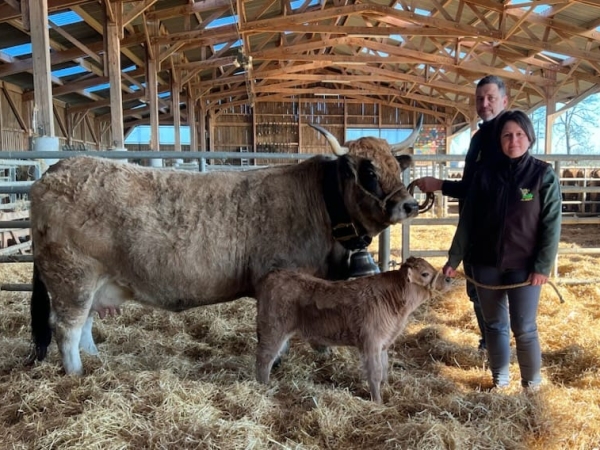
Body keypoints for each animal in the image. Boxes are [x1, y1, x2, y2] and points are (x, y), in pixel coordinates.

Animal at [28, 121, 422, 374]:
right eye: (368, 171)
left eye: (395, 166)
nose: (409, 204)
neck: (322, 204)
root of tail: (57, 169)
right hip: (72, 278)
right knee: (66, 328)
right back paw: (77, 374)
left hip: (93, 283)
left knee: (85, 325)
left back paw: (95, 361)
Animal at [255, 256, 452, 404]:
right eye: (425, 274)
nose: (448, 278)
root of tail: (274, 274)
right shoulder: (371, 343)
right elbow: (375, 373)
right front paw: (378, 402)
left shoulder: (383, 344)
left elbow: (385, 368)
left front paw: (387, 388)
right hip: (273, 330)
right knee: (264, 358)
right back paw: (263, 386)